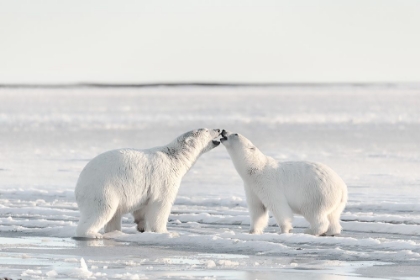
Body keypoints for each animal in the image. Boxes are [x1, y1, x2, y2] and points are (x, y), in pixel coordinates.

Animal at [74, 128, 223, 237]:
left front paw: (142, 226)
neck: (174, 157)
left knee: (114, 216)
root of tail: (79, 185)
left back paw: (115, 232)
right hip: (103, 189)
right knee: (102, 210)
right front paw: (166, 231)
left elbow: (142, 207)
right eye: (206, 129)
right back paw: (92, 234)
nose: (219, 129)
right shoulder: (164, 178)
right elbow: (161, 205)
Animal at [220, 130, 348, 235]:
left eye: (236, 134)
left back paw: (311, 231)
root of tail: (342, 188)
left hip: (317, 193)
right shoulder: (252, 187)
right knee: (333, 216)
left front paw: (284, 230)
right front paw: (253, 230)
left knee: (314, 212)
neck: (256, 169)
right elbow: (257, 209)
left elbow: (278, 206)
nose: (223, 131)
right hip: (336, 201)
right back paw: (332, 231)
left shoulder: (268, 184)